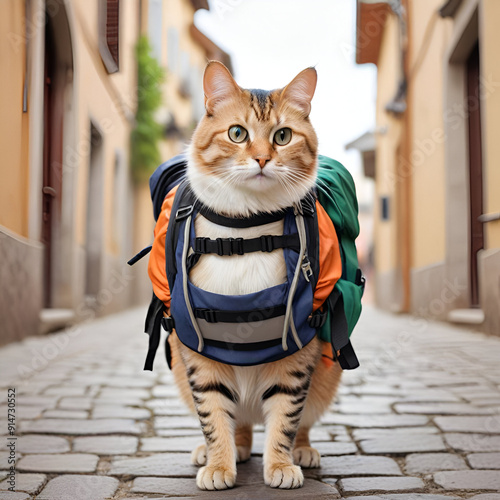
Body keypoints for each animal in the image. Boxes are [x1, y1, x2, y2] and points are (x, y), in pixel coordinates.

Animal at [167, 61, 340, 488]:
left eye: (283, 136)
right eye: (237, 133)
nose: (262, 159)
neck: (247, 228)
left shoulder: (297, 353)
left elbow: (285, 415)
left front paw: (279, 465)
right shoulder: (200, 354)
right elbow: (213, 413)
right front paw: (219, 464)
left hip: (325, 377)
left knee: (302, 419)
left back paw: (303, 451)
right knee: (237, 421)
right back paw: (228, 449)